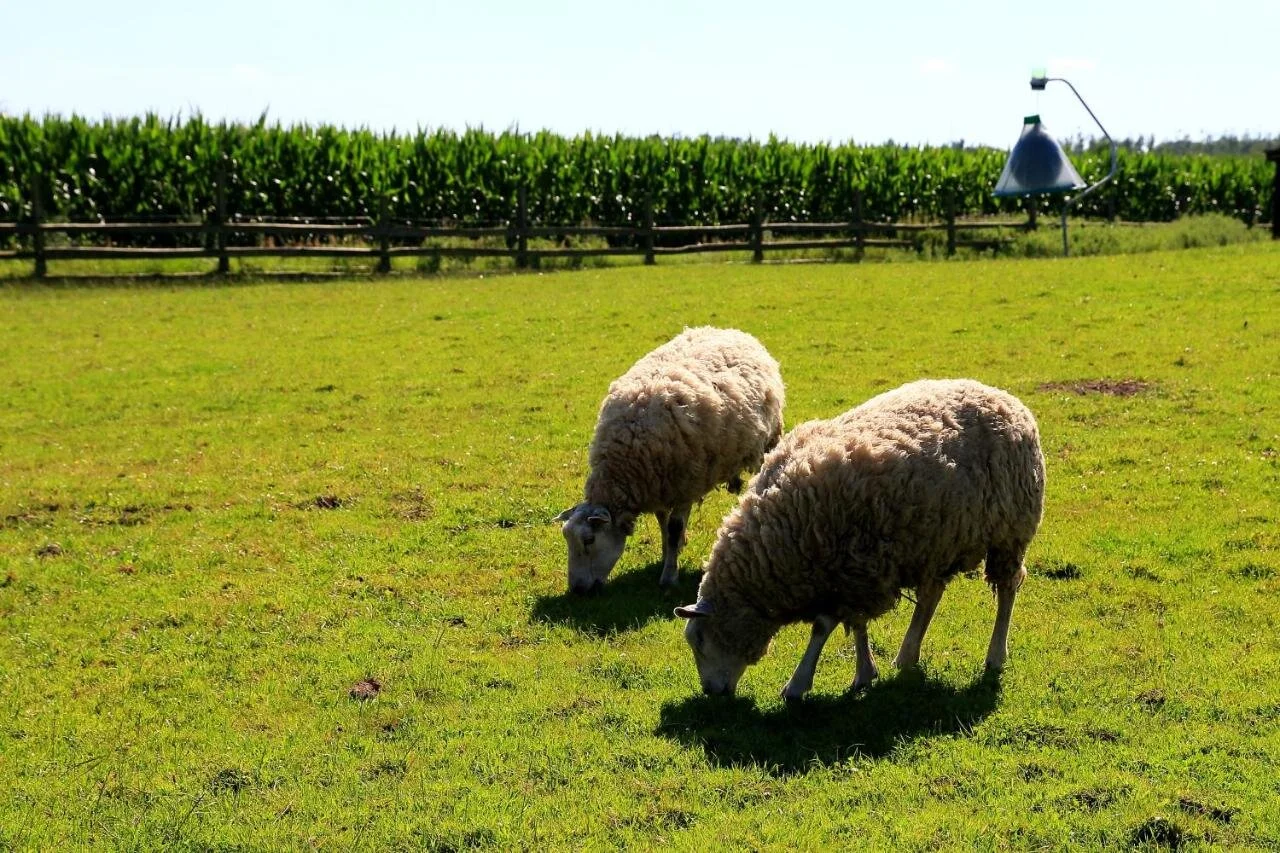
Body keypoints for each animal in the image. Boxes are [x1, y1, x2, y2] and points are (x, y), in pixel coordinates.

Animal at [558, 325, 783, 591]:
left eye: (589, 540)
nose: (577, 590)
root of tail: (731, 331)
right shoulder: (659, 485)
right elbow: (663, 524)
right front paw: (667, 555)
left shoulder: (686, 483)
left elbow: (674, 528)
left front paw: (669, 576)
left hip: (769, 441)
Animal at [675, 376, 1044, 696]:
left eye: (701, 640)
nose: (712, 693)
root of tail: (1001, 395)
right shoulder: (856, 572)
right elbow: (858, 624)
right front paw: (865, 673)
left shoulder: (851, 570)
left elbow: (825, 626)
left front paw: (799, 684)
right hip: (938, 542)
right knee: (931, 595)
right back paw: (907, 655)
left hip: (1010, 534)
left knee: (1007, 589)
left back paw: (995, 655)